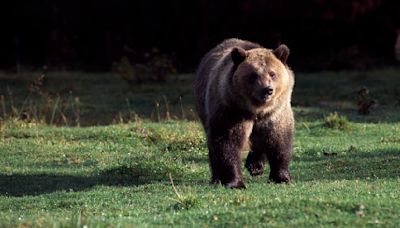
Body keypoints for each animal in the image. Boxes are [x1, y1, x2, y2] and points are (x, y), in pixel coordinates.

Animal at [195, 37, 296, 189]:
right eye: (253, 75)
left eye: (272, 73)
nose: (267, 90)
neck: (256, 109)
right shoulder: (232, 110)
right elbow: (227, 142)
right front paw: (235, 182)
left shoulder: (275, 112)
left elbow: (279, 140)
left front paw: (281, 177)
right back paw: (216, 178)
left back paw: (255, 166)